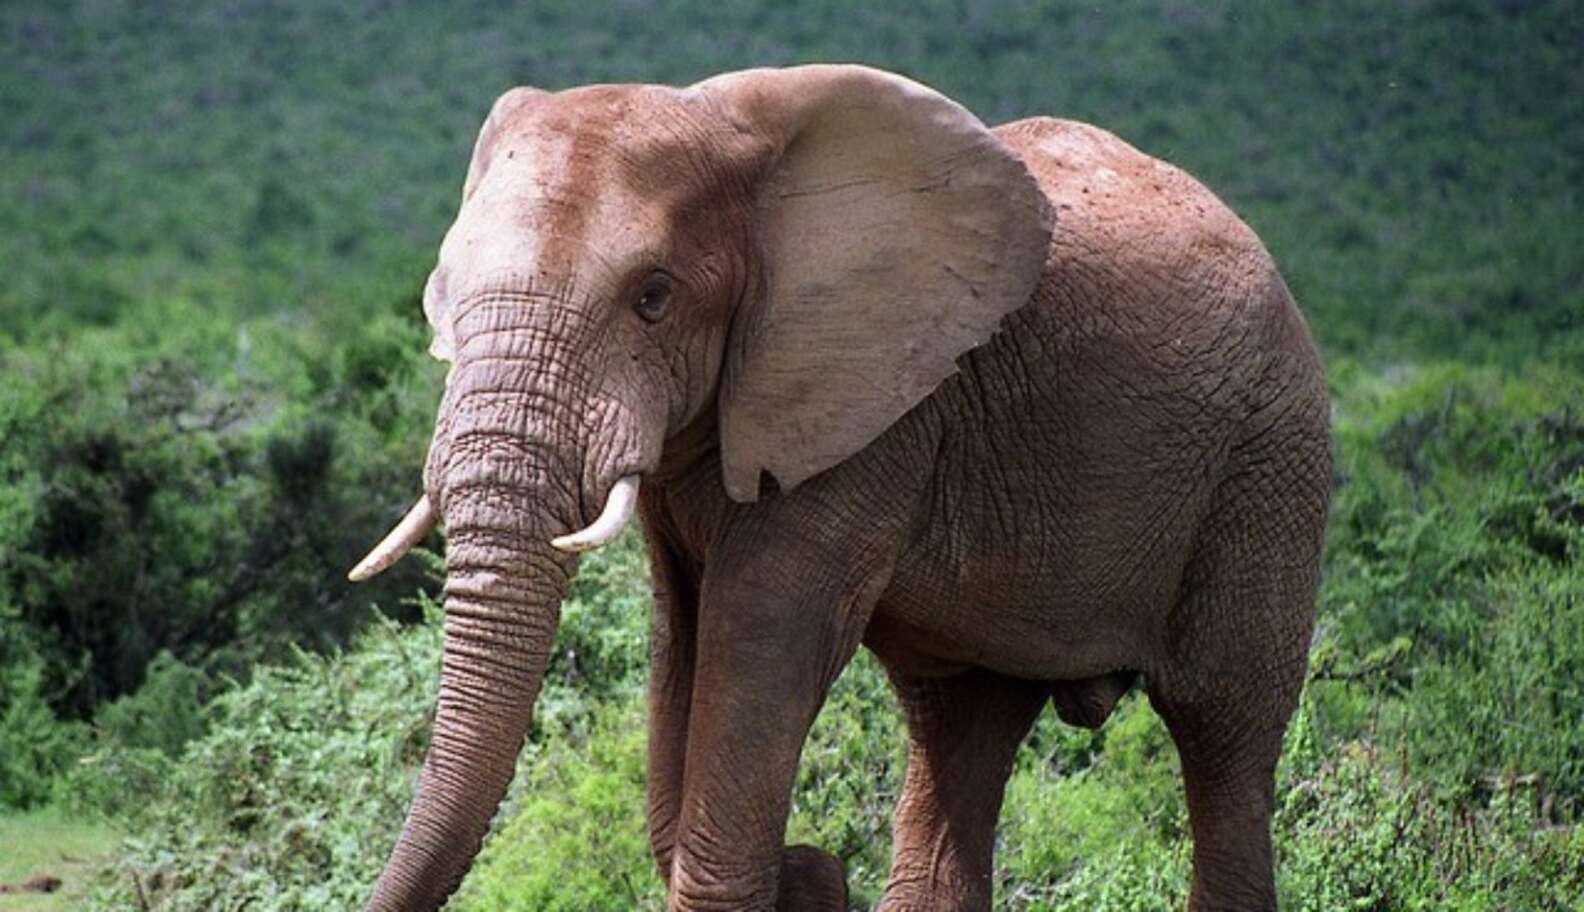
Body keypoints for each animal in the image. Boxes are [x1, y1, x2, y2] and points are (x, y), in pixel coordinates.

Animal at [348, 64, 1331, 911]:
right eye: (443, 300)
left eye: (653, 297)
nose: (817, 862)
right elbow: (683, 635)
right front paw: (808, 876)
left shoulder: (875, 406)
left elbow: (762, 630)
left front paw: (796, 871)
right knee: (961, 726)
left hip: (1270, 459)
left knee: (1224, 733)